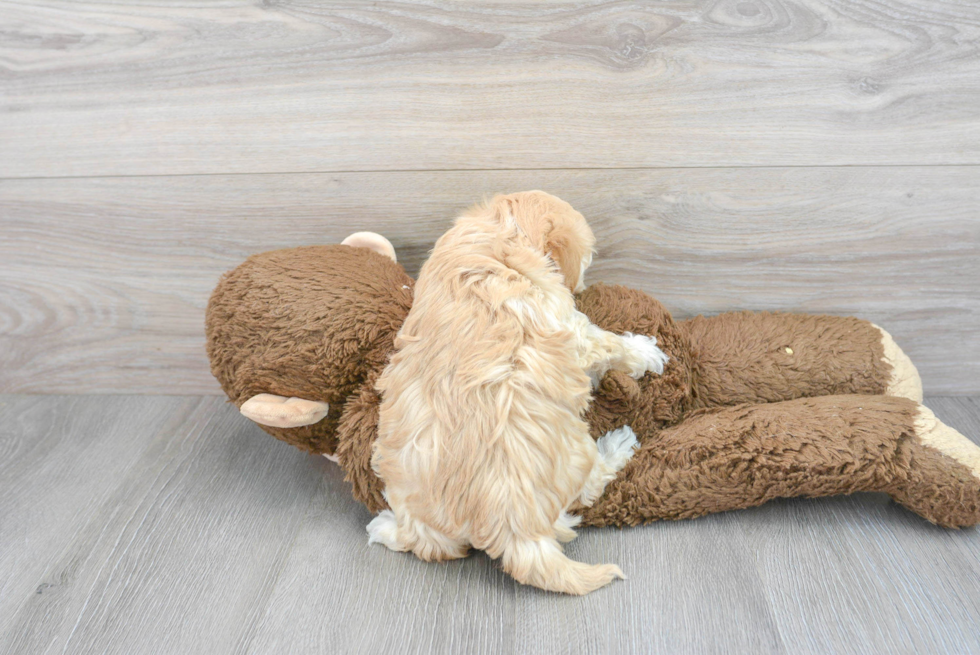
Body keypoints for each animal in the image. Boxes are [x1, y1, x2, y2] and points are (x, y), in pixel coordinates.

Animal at [368, 190, 668, 596]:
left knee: (424, 543)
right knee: (589, 488)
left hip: (406, 488)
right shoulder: (572, 330)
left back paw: (384, 527)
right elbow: (606, 344)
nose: (583, 282)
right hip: (577, 453)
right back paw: (618, 445)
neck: (499, 239)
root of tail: (512, 529)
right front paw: (645, 352)